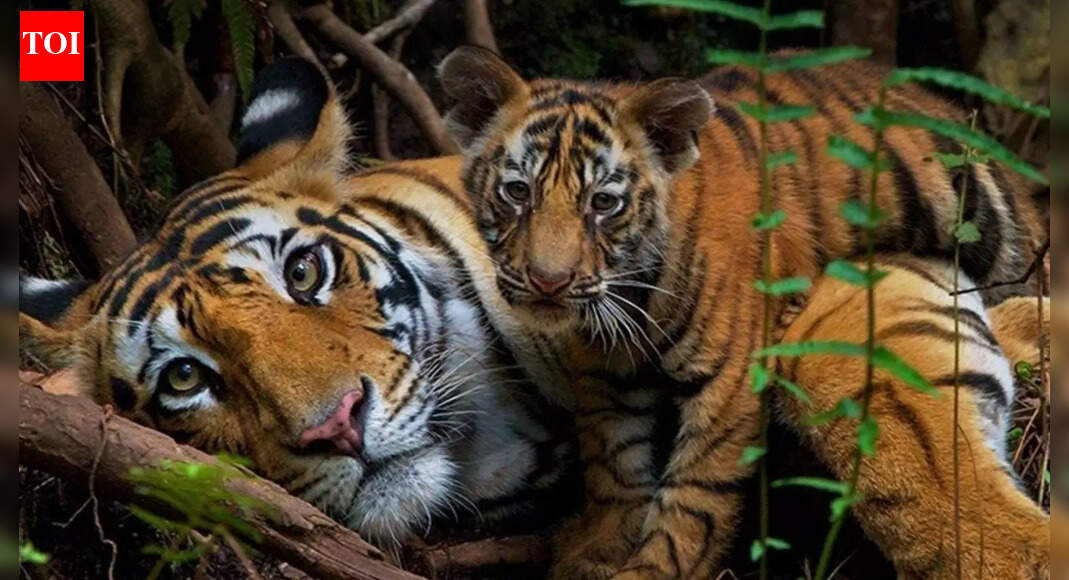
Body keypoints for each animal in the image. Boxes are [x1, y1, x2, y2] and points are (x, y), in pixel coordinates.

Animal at [434, 46, 1050, 578]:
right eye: (517, 192)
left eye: (603, 202)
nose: (549, 281)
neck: (628, 295)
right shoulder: (604, 374)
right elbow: (613, 462)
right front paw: (599, 548)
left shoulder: (728, 376)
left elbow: (695, 498)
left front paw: (656, 569)